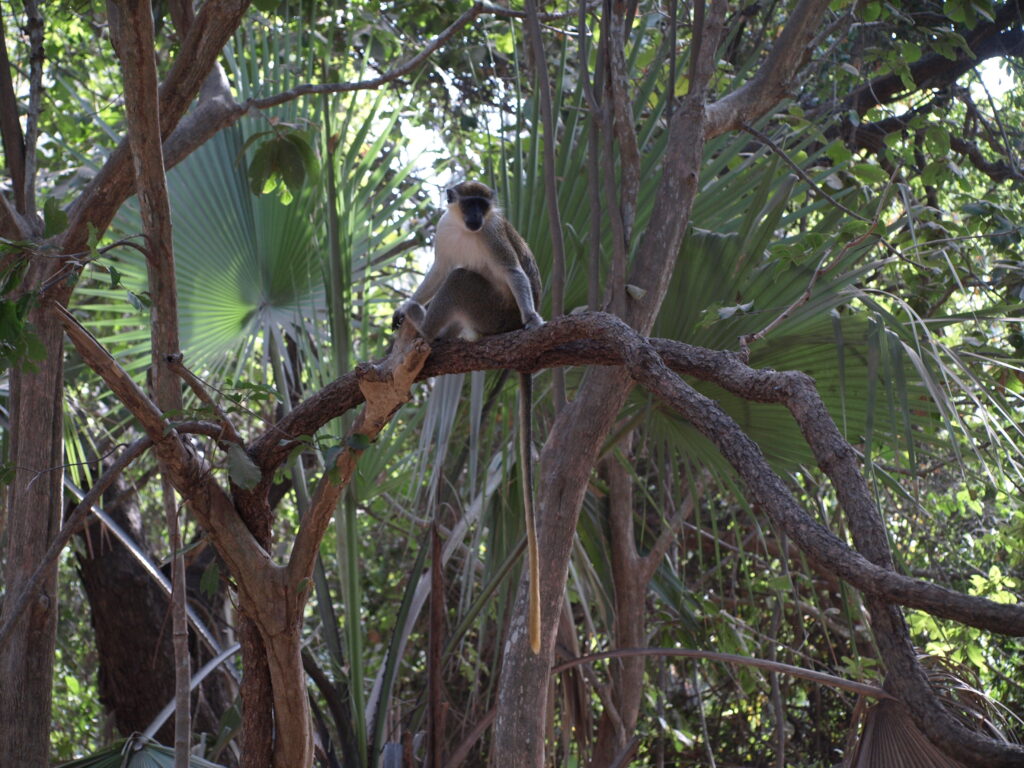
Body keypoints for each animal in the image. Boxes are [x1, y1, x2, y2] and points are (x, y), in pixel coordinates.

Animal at [391, 180, 544, 655]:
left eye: (483, 205)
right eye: (468, 203)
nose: (476, 217)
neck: (464, 229)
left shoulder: (493, 235)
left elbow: (511, 272)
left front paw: (535, 319)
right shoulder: (443, 232)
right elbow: (438, 270)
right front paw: (408, 301)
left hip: (493, 313)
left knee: (463, 280)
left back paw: (425, 327)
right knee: (454, 275)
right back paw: (427, 330)